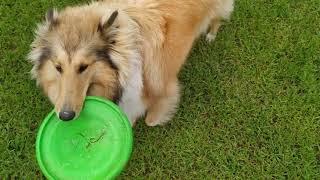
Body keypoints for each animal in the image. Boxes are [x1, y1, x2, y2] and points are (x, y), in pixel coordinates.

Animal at [28, 0, 234, 126]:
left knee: (217, 18)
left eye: (83, 67)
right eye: (58, 67)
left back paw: (211, 34)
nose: (65, 117)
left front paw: (152, 118)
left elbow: (150, 119)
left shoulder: (161, 86)